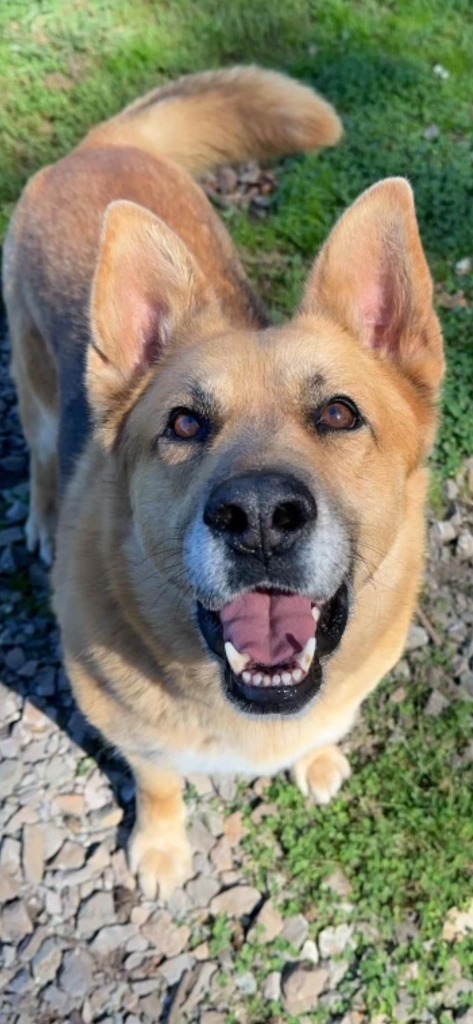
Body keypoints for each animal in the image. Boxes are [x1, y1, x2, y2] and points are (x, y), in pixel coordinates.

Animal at [1, 66, 444, 897]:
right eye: (182, 424)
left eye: (338, 413)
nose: (260, 516)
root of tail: (102, 145)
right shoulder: (129, 732)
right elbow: (158, 782)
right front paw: (159, 849)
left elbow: (327, 723)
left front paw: (318, 758)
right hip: (35, 385)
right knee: (42, 455)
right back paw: (41, 518)